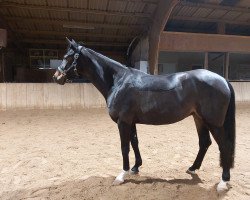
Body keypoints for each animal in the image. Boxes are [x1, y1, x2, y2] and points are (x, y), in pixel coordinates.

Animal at [52, 38, 234, 192]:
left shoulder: (123, 122)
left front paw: (122, 174)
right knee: (204, 143)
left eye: (68, 57)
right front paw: (135, 167)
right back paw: (192, 168)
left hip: (214, 123)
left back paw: (223, 182)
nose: (56, 77)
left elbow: (124, 147)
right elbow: (134, 143)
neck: (118, 81)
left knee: (224, 146)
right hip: (199, 118)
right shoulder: (131, 122)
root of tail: (222, 80)